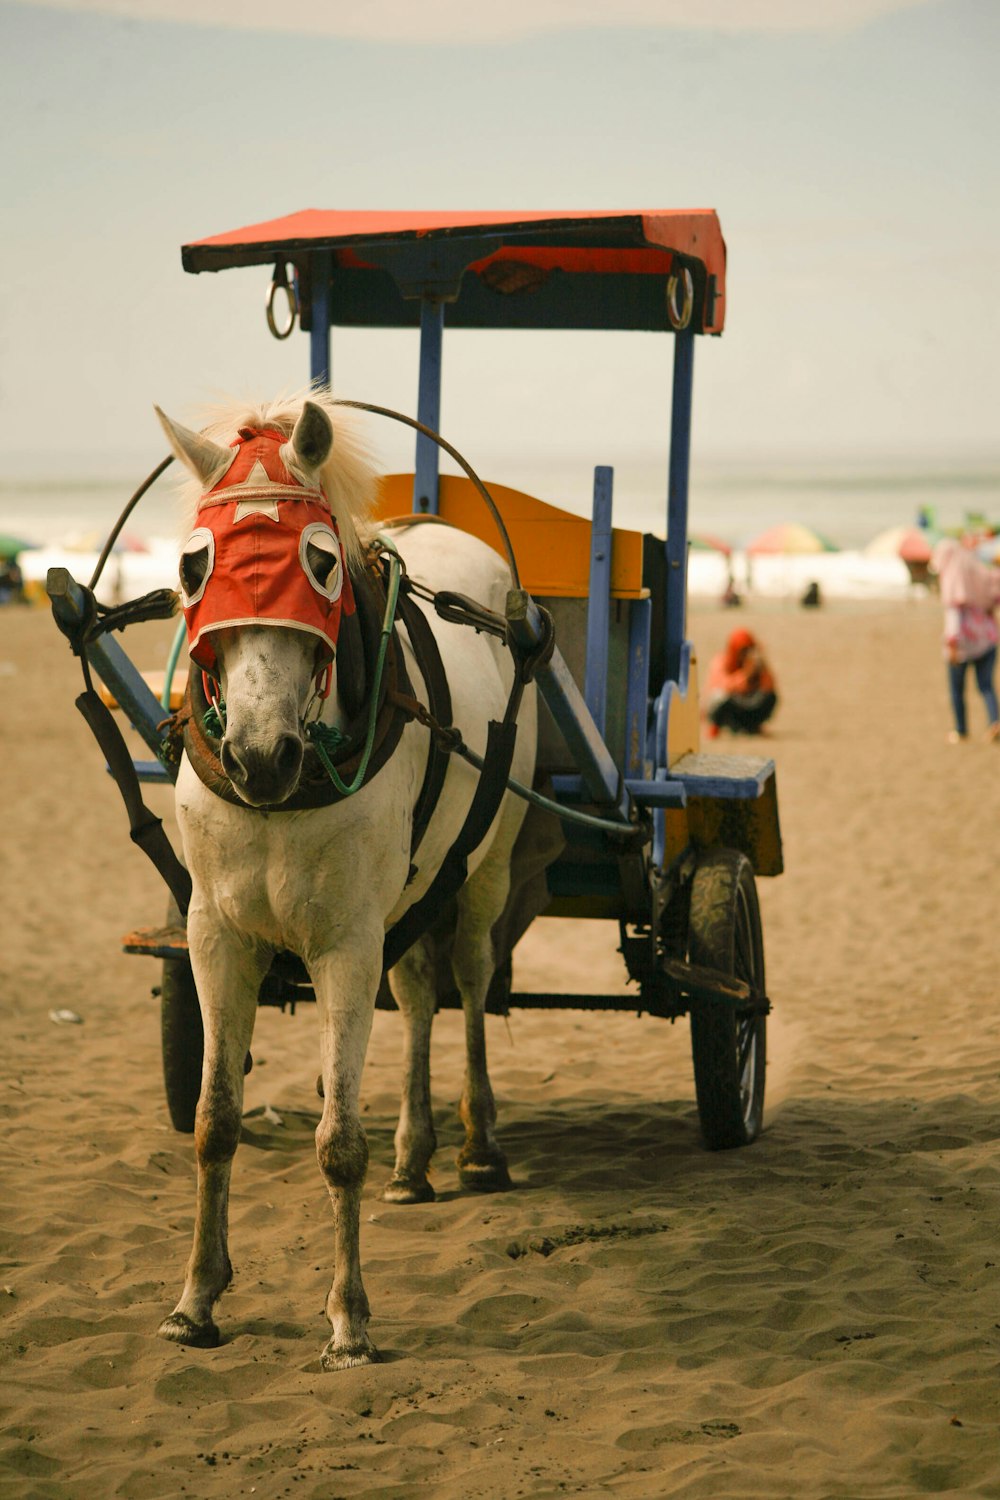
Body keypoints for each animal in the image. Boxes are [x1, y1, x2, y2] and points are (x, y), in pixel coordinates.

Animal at [152, 396, 536, 1374]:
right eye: (195, 565)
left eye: (319, 561)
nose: (257, 756)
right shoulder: (216, 934)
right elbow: (213, 1122)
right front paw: (196, 1298)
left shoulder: (345, 943)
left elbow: (336, 1142)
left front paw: (349, 1317)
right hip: (407, 891)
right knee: (420, 992)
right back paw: (412, 1160)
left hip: (485, 857)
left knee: (469, 977)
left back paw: (477, 1143)